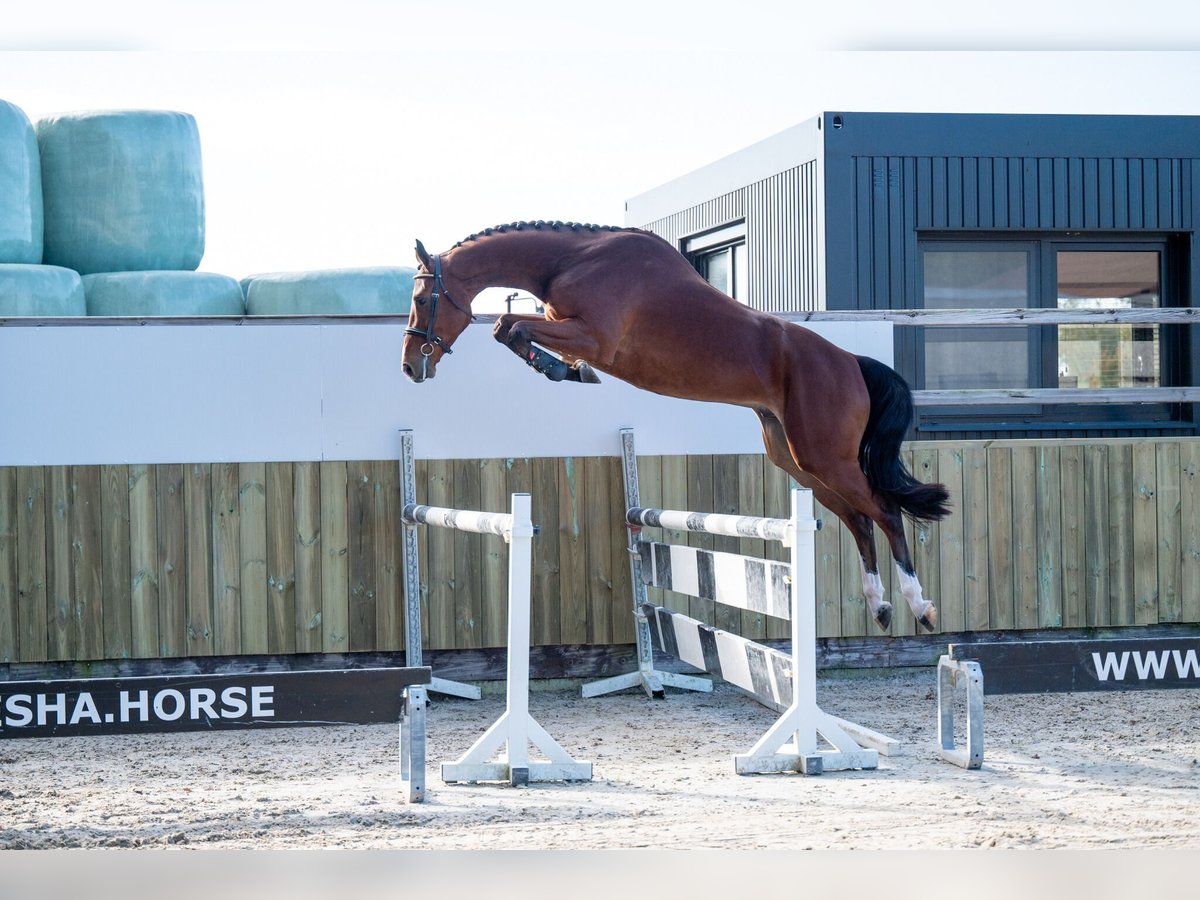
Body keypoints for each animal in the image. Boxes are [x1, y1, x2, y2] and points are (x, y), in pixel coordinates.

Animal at [400, 220, 945, 628]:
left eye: (423, 301)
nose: (410, 367)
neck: (572, 260)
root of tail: (851, 362)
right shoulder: (567, 328)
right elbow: (507, 328)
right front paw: (566, 371)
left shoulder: (591, 336)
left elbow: (510, 327)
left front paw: (568, 371)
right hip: (794, 457)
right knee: (859, 519)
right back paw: (879, 605)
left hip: (824, 456)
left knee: (884, 512)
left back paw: (920, 606)